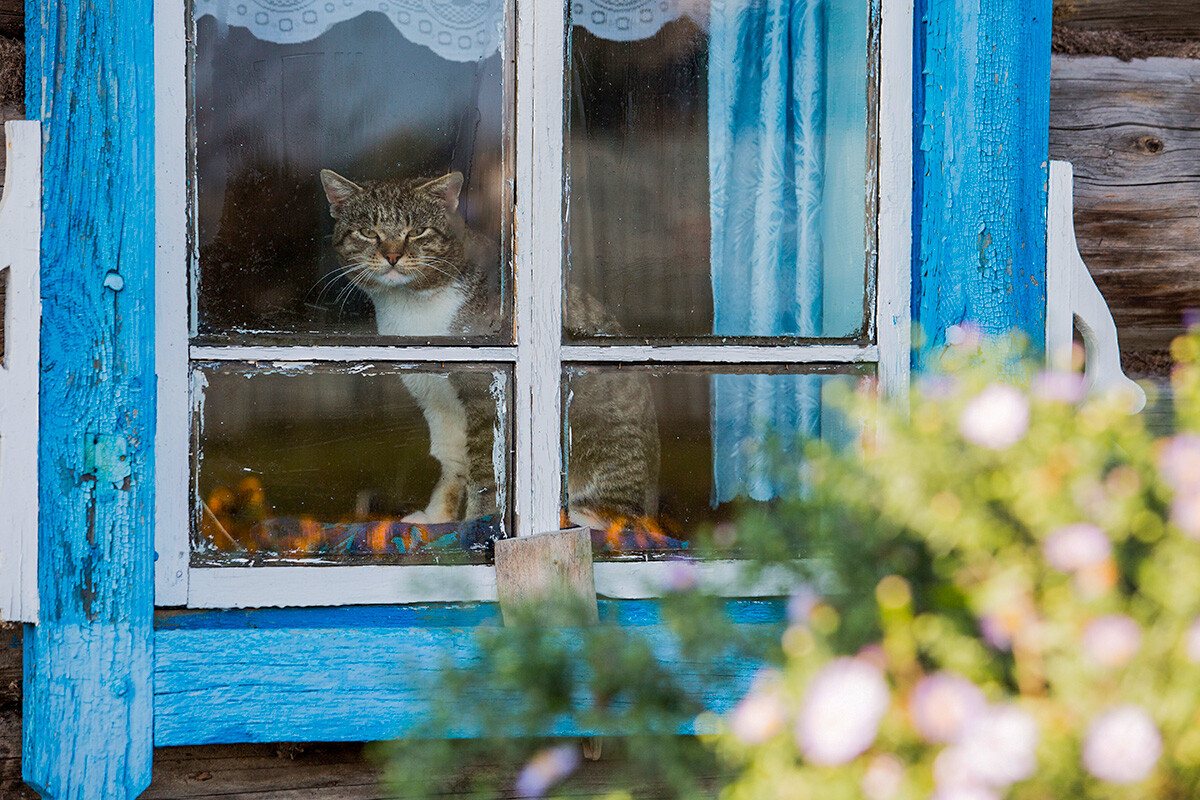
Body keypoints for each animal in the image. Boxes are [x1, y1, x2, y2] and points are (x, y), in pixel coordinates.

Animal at [321, 170, 657, 532]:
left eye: (417, 231)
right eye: (369, 232)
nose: (393, 256)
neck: (409, 308)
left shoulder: (484, 393)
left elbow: (485, 469)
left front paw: (479, 522)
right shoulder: (434, 396)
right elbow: (452, 458)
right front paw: (437, 518)